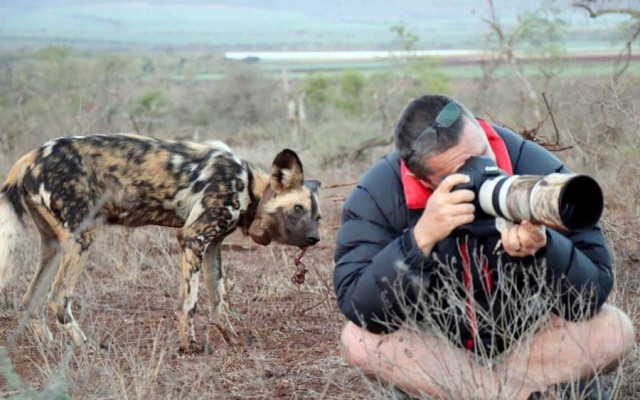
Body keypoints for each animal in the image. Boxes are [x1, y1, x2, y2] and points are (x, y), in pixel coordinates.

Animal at [0, 134, 320, 354]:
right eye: (298, 209)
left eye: (317, 216)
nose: (315, 239)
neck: (248, 185)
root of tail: (30, 156)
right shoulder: (192, 237)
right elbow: (189, 303)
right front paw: (189, 346)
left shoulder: (212, 246)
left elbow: (220, 301)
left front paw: (232, 338)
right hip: (82, 237)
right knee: (58, 299)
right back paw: (88, 346)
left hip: (54, 246)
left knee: (31, 299)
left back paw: (50, 346)